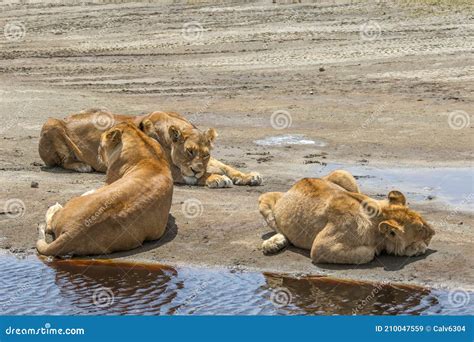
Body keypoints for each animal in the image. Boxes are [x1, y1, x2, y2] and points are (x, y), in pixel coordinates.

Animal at [36, 121, 174, 255]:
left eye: (100, 146)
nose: (98, 155)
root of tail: (72, 232)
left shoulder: (108, 181)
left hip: (72, 202)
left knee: (49, 225)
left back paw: (54, 208)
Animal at [39, 108, 262, 188]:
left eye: (205, 154)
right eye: (189, 151)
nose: (197, 169)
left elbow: (226, 166)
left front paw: (248, 176)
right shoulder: (167, 167)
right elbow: (195, 176)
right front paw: (215, 178)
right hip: (50, 123)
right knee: (62, 161)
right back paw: (81, 166)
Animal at [258, 170, 436, 264]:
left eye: (422, 220)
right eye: (421, 229)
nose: (434, 231)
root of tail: (299, 181)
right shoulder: (321, 247)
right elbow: (369, 253)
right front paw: (415, 248)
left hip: (343, 173)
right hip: (264, 199)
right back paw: (273, 243)